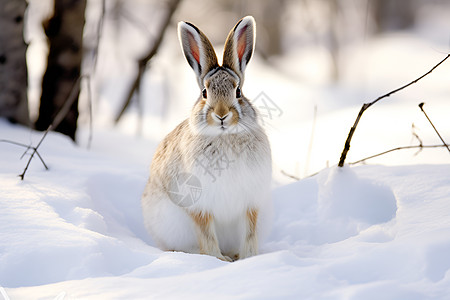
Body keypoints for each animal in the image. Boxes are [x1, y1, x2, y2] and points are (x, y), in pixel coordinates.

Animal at [142, 16, 272, 262]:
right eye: (204, 93)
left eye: (238, 92)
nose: (221, 115)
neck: (225, 137)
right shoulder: (199, 205)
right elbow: (207, 233)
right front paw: (217, 260)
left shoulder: (251, 203)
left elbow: (250, 232)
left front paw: (249, 258)